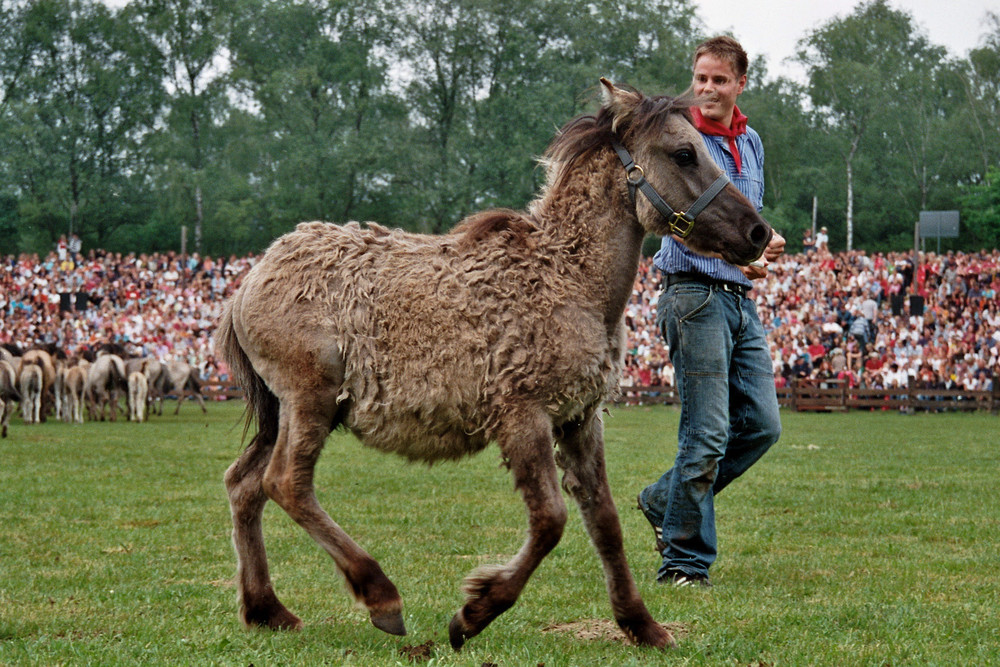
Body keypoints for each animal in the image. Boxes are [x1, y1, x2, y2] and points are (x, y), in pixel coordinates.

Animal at [215, 81, 768, 648]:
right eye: (684, 154)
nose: (758, 232)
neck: (570, 279)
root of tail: (251, 277)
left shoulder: (579, 419)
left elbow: (605, 522)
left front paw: (641, 623)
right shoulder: (522, 415)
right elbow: (550, 520)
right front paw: (475, 611)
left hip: (291, 409)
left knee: (245, 484)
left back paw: (266, 608)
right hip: (311, 400)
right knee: (286, 483)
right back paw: (379, 594)